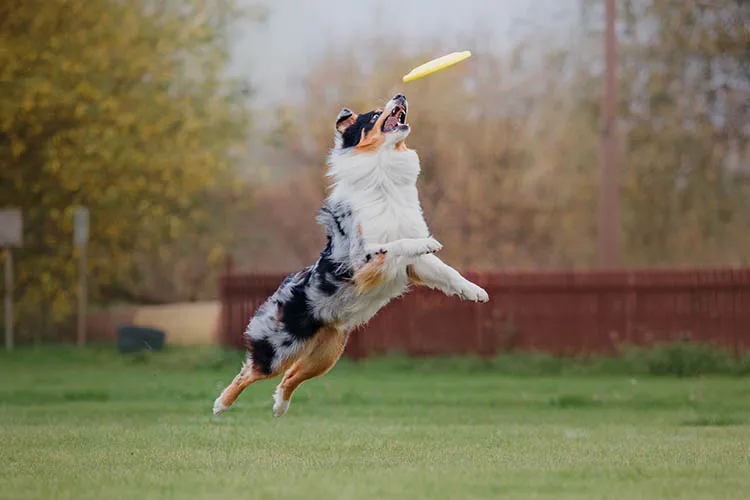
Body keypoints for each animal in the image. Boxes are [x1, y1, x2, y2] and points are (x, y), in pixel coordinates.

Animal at [214, 94, 490, 418]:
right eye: (373, 115)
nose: (400, 95)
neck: (383, 176)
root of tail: (283, 290)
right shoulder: (362, 259)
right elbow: (398, 243)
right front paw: (428, 241)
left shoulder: (414, 266)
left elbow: (448, 272)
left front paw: (475, 292)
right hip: (280, 346)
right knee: (251, 371)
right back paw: (220, 405)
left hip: (326, 354)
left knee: (291, 376)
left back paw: (280, 406)